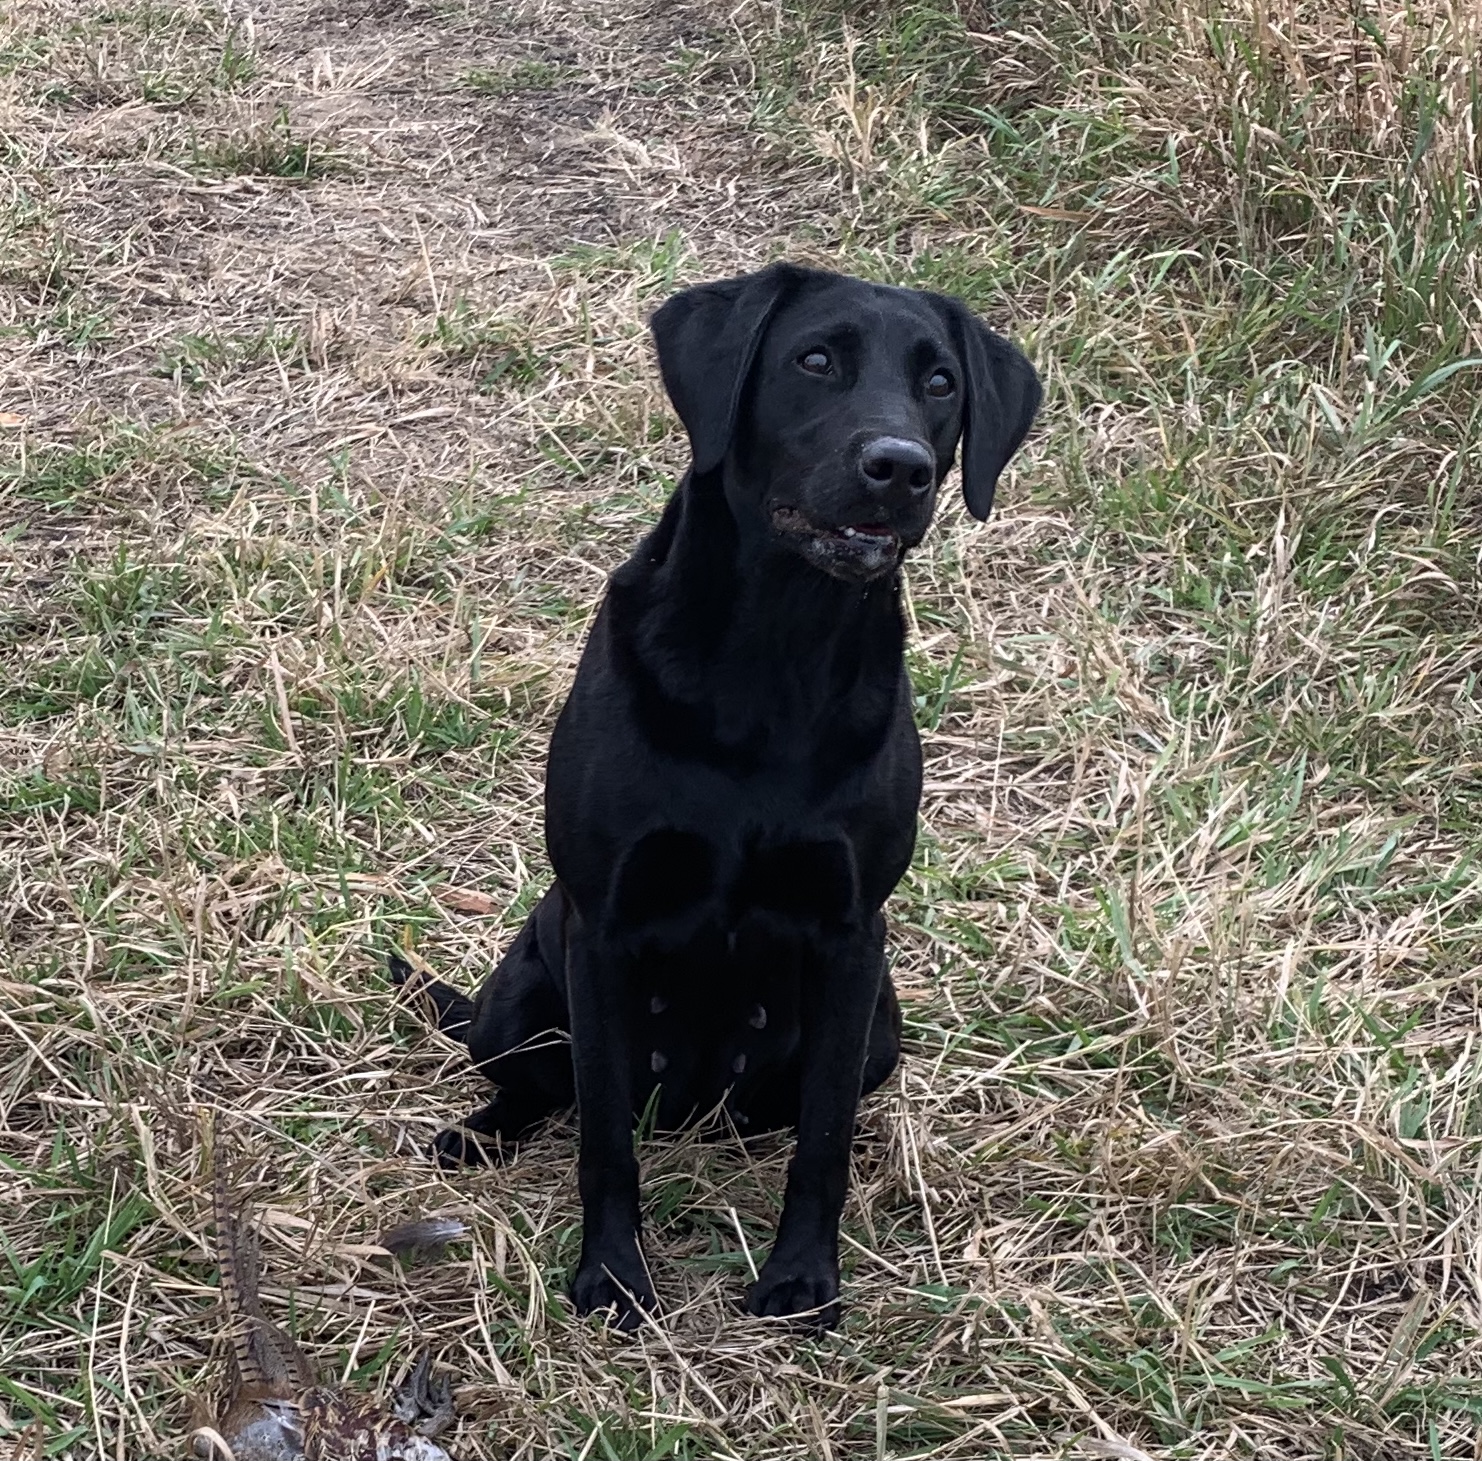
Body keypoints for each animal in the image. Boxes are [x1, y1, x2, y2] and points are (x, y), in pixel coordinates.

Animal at [394, 256, 1043, 1327]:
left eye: (941, 382)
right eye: (815, 360)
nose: (901, 466)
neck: (771, 658)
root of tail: (693, 1109)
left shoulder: (851, 934)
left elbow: (821, 1140)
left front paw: (803, 1278)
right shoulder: (603, 929)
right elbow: (603, 1138)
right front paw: (613, 1275)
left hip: (880, 1026)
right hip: (518, 993)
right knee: (541, 1087)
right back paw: (478, 1134)